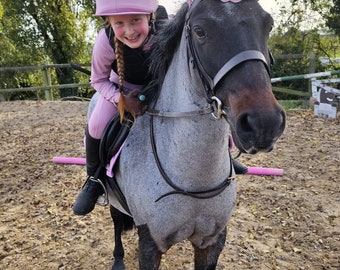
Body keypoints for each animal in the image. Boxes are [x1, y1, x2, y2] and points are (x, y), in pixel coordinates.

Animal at [93, 1, 286, 268]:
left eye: (268, 25)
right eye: (199, 31)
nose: (263, 123)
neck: (193, 178)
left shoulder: (212, 241)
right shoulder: (150, 243)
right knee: (115, 219)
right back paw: (118, 258)